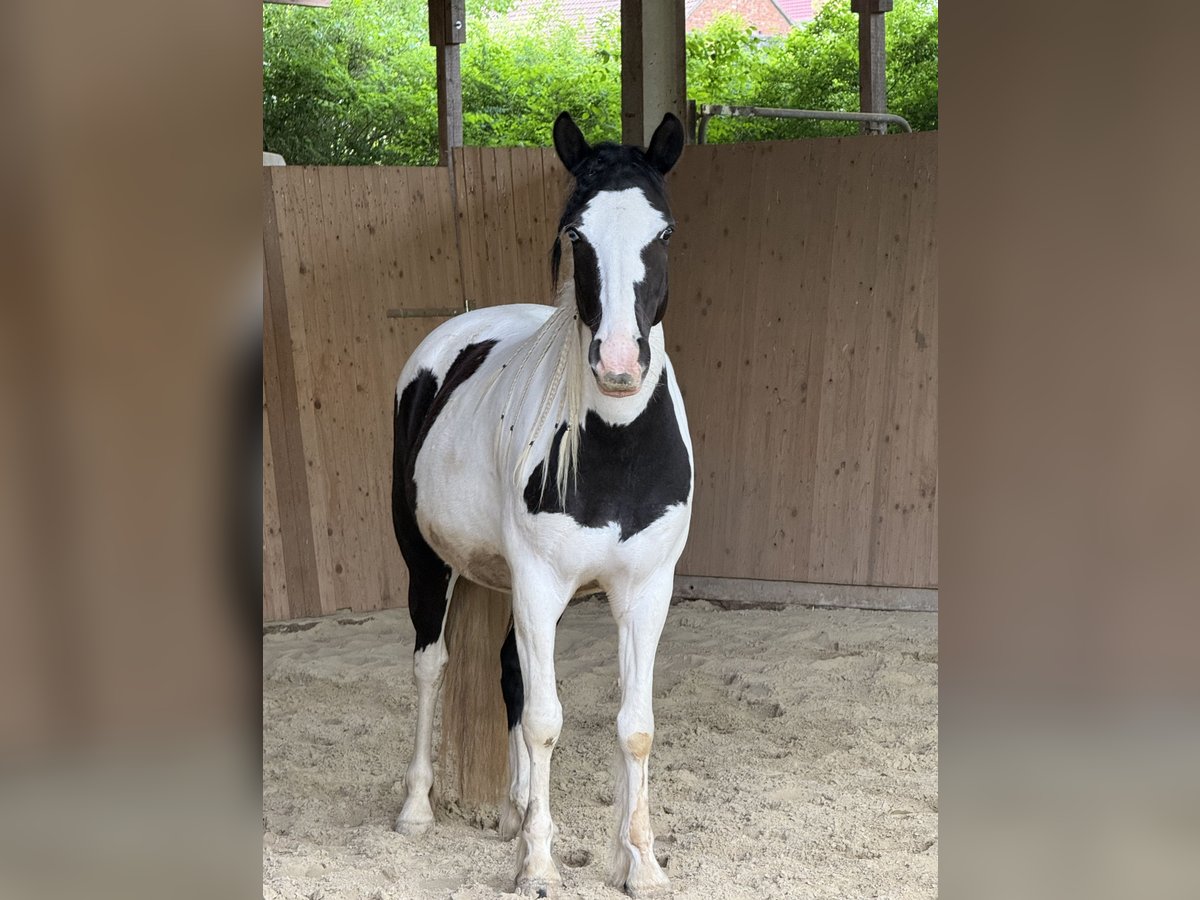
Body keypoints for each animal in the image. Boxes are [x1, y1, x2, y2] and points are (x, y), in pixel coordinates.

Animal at [390, 111, 692, 897]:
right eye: (576, 235)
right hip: (430, 566)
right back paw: (417, 808)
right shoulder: (538, 584)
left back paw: (515, 808)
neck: (615, 453)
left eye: (664, 232)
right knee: (431, 667)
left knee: (509, 675)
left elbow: (633, 724)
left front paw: (639, 861)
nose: (619, 364)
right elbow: (546, 721)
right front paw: (537, 865)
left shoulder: (645, 591)